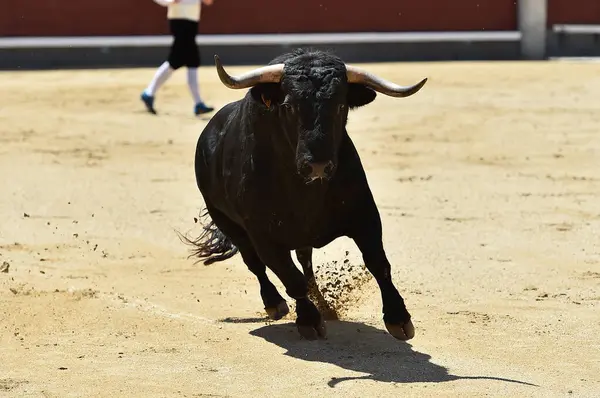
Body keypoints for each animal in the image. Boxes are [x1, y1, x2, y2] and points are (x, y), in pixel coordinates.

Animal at [183, 48, 426, 340]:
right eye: (289, 106)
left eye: (341, 106)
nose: (318, 166)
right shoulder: (262, 234)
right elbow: (289, 276)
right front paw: (309, 320)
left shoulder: (364, 213)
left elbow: (378, 263)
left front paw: (399, 319)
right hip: (227, 221)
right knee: (255, 263)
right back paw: (275, 304)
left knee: (305, 262)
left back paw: (323, 305)